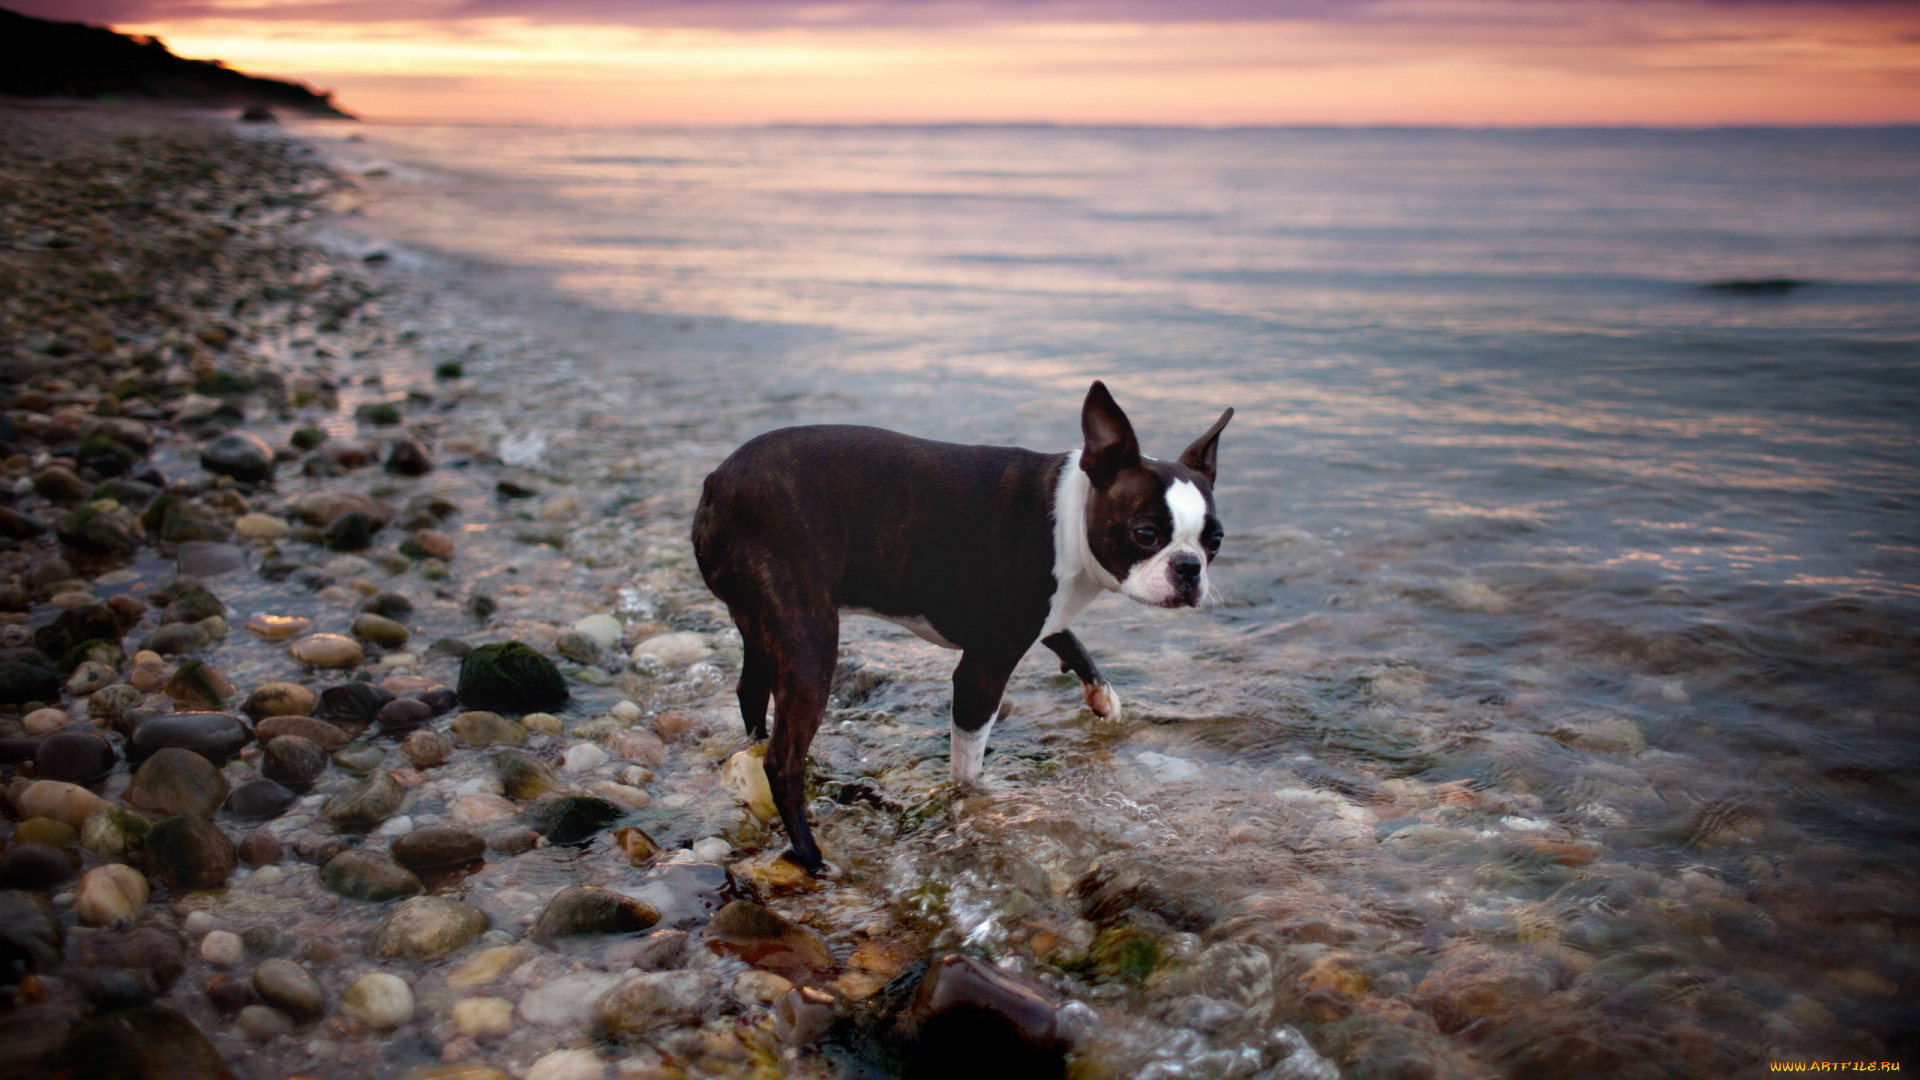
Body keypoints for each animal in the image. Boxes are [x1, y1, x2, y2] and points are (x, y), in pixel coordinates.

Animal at [691, 378, 1228, 864]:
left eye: (1215, 541)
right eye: (1145, 534)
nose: (1189, 567)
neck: (1071, 518)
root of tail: (717, 482)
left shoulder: (1039, 616)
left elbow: (1067, 637)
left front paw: (1101, 695)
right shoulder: (984, 667)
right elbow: (968, 760)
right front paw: (975, 801)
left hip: (764, 623)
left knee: (750, 691)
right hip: (808, 639)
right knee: (784, 761)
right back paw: (809, 854)